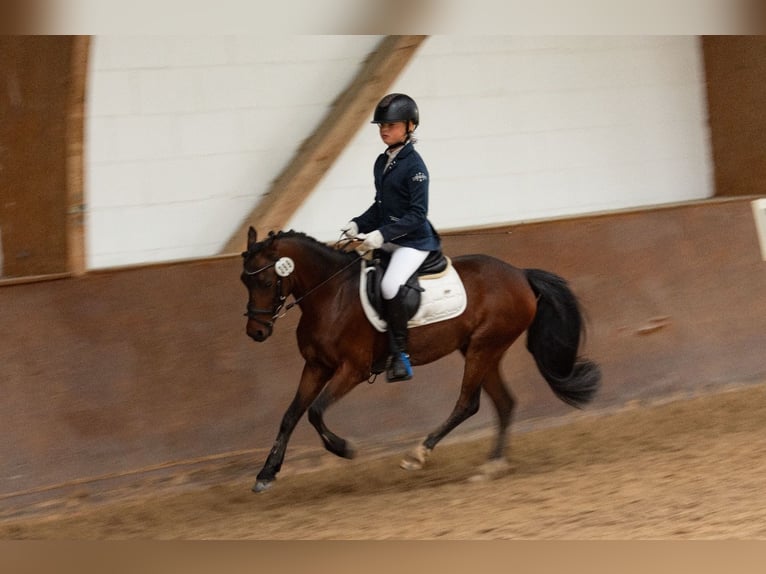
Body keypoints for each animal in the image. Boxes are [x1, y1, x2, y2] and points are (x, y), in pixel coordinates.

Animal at [241, 227, 601, 493]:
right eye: (244, 280)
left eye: (266, 280)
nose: (256, 332)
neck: (332, 296)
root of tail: (520, 275)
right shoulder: (316, 366)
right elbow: (290, 416)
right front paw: (266, 474)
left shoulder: (352, 369)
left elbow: (315, 412)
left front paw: (344, 448)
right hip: (481, 349)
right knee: (504, 402)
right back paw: (491, 465)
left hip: (484, 347)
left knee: (468, 404)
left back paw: (417, 455)